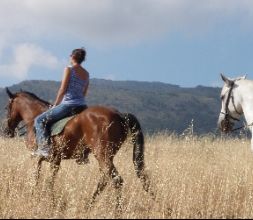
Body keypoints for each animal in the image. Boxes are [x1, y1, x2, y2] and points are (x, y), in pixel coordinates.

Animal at [3, 88, 151, 208]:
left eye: (6, 107)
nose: (6, 131)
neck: (34, 118)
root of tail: (120, 115)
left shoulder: (39, 156)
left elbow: (38, 177)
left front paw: (40, 198)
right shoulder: (55, 159)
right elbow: (49, 179)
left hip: (102, 155)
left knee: (116, 180)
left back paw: (117, 210)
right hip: (107, 156)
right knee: (104, 180)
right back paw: (89, 205)